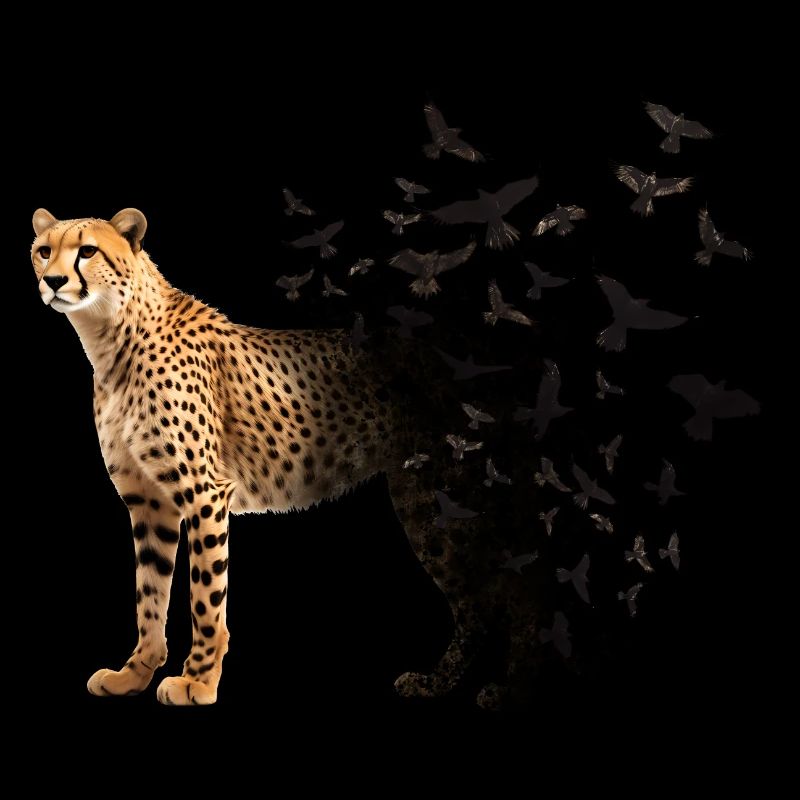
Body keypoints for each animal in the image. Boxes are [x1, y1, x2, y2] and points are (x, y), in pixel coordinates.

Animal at [30, 207, 547, 707]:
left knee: (521, 590)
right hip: (428, 506)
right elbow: (149, 593)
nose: (53, 281)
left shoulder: (204, 494)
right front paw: (134, 675)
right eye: (43, 251)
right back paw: (436, 683)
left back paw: (512, 690)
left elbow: (204, 597)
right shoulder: (149, 502)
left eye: (87, 251)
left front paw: (196, 682)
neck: (111, 337)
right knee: (478, 601)